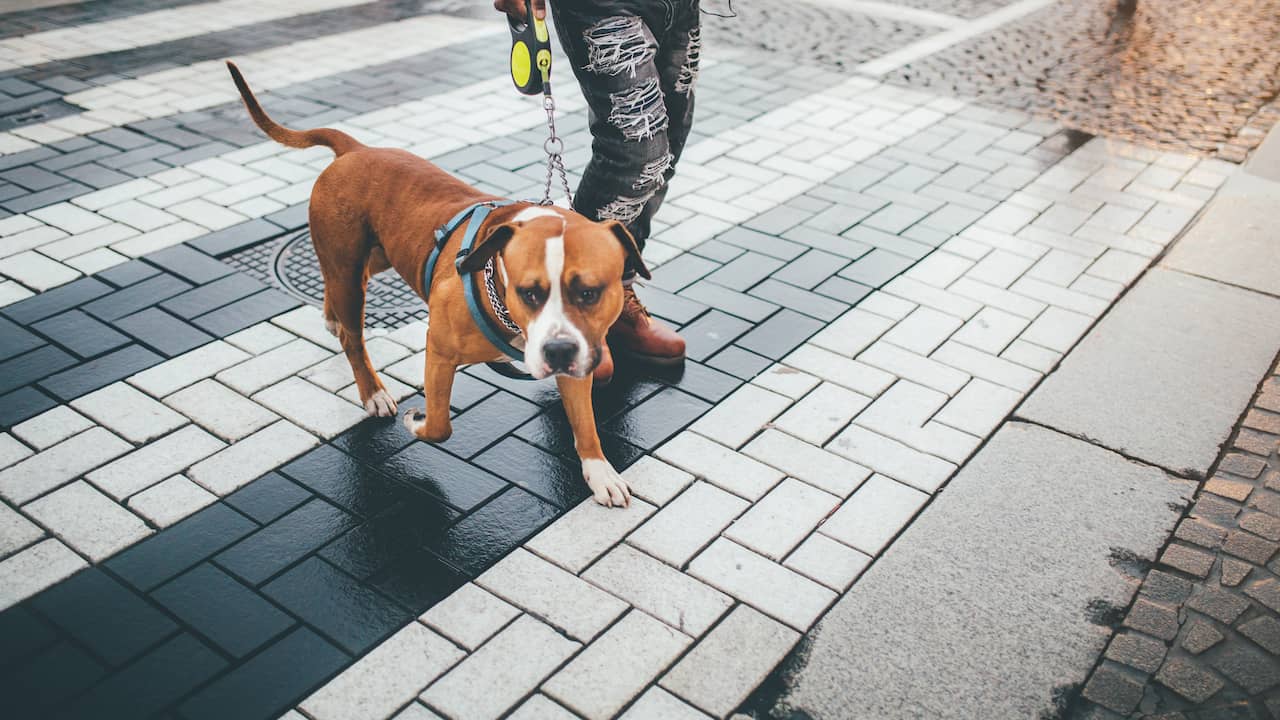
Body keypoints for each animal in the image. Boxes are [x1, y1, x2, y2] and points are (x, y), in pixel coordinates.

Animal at [226, 61, 645, 504]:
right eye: (528, 293)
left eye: (590, 293)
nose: (559, 349)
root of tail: (356, 150)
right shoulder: (440, 350)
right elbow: (441, 424)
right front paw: (417, 422)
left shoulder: (577, 363)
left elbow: (585, 424)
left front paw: (599, 471)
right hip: (349, 269)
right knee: (352, 338)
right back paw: (372, 391)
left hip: (376, 256)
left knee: (337, 282)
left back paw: (330, 315)